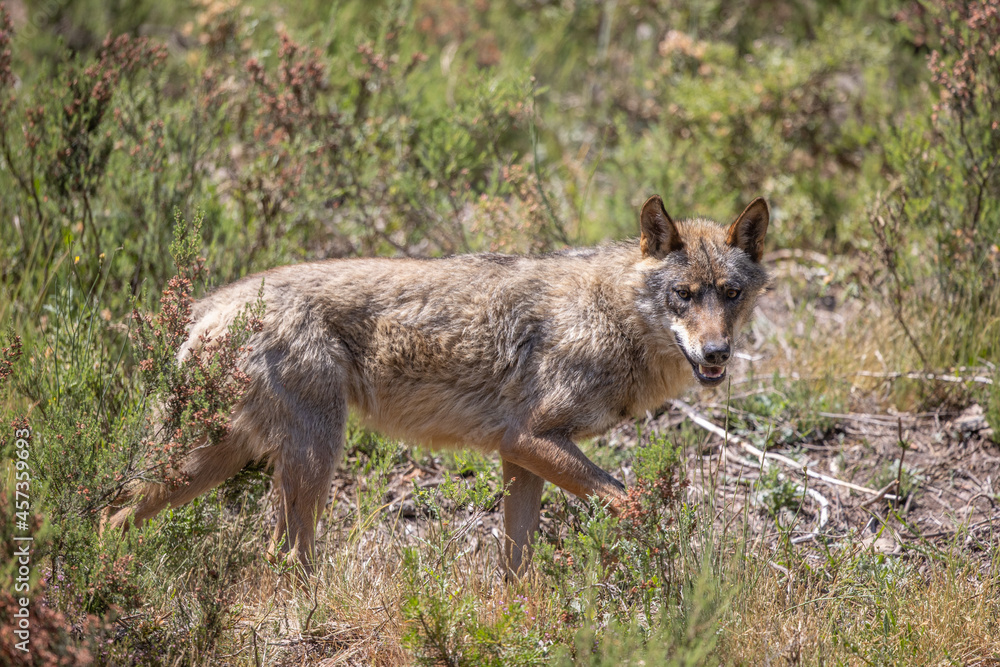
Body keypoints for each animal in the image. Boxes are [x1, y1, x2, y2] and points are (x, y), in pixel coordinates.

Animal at [107, 195, 769, 578]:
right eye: (683, 295)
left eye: (730, 294)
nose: (717, 354)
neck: (610, 314)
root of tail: (207, 307)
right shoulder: (531, 439)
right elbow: (634, 504)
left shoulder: (518, 455)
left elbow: (517, 564)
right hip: (315, 457)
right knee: (284, 555)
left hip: (211, 461)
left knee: (114, 518)